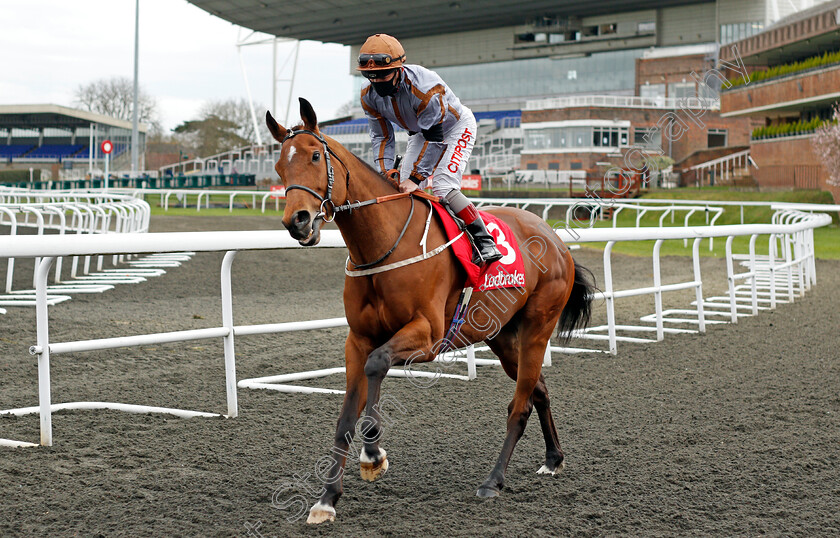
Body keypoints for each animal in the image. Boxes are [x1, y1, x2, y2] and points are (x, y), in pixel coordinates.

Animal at [266, 98, 592, 520]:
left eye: (315, 155)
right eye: (278, 167)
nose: (298, 221)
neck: (383, 244)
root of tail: (554, 238)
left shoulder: (428, 334)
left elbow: (378, 364)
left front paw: (373, 454)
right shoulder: (358, 339)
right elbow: (345, 417)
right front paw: (326, 499)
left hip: (538, 326)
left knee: (519, 407)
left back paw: (493, 481)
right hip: (502, 336)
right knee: (539, 390)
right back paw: (553, 458)